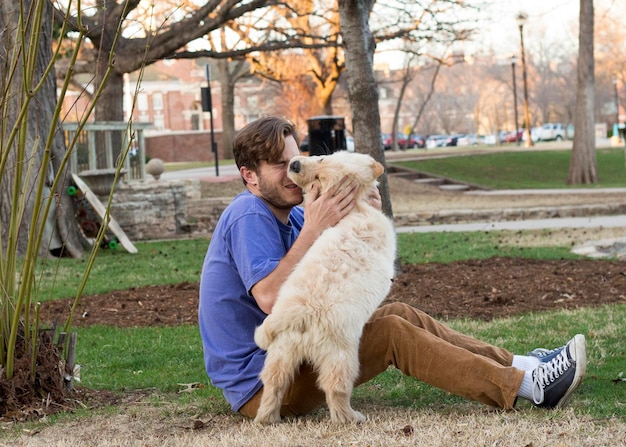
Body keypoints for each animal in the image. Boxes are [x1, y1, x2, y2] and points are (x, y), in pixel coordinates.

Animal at [254, 151, 394, 428]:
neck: (356, 208)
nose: (295, 164)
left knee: (274, 382)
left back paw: (267, 418)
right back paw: (349, 417)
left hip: (281, 349)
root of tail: (298, 312)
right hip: (341, 353)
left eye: (320, 162)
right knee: (336, 388)